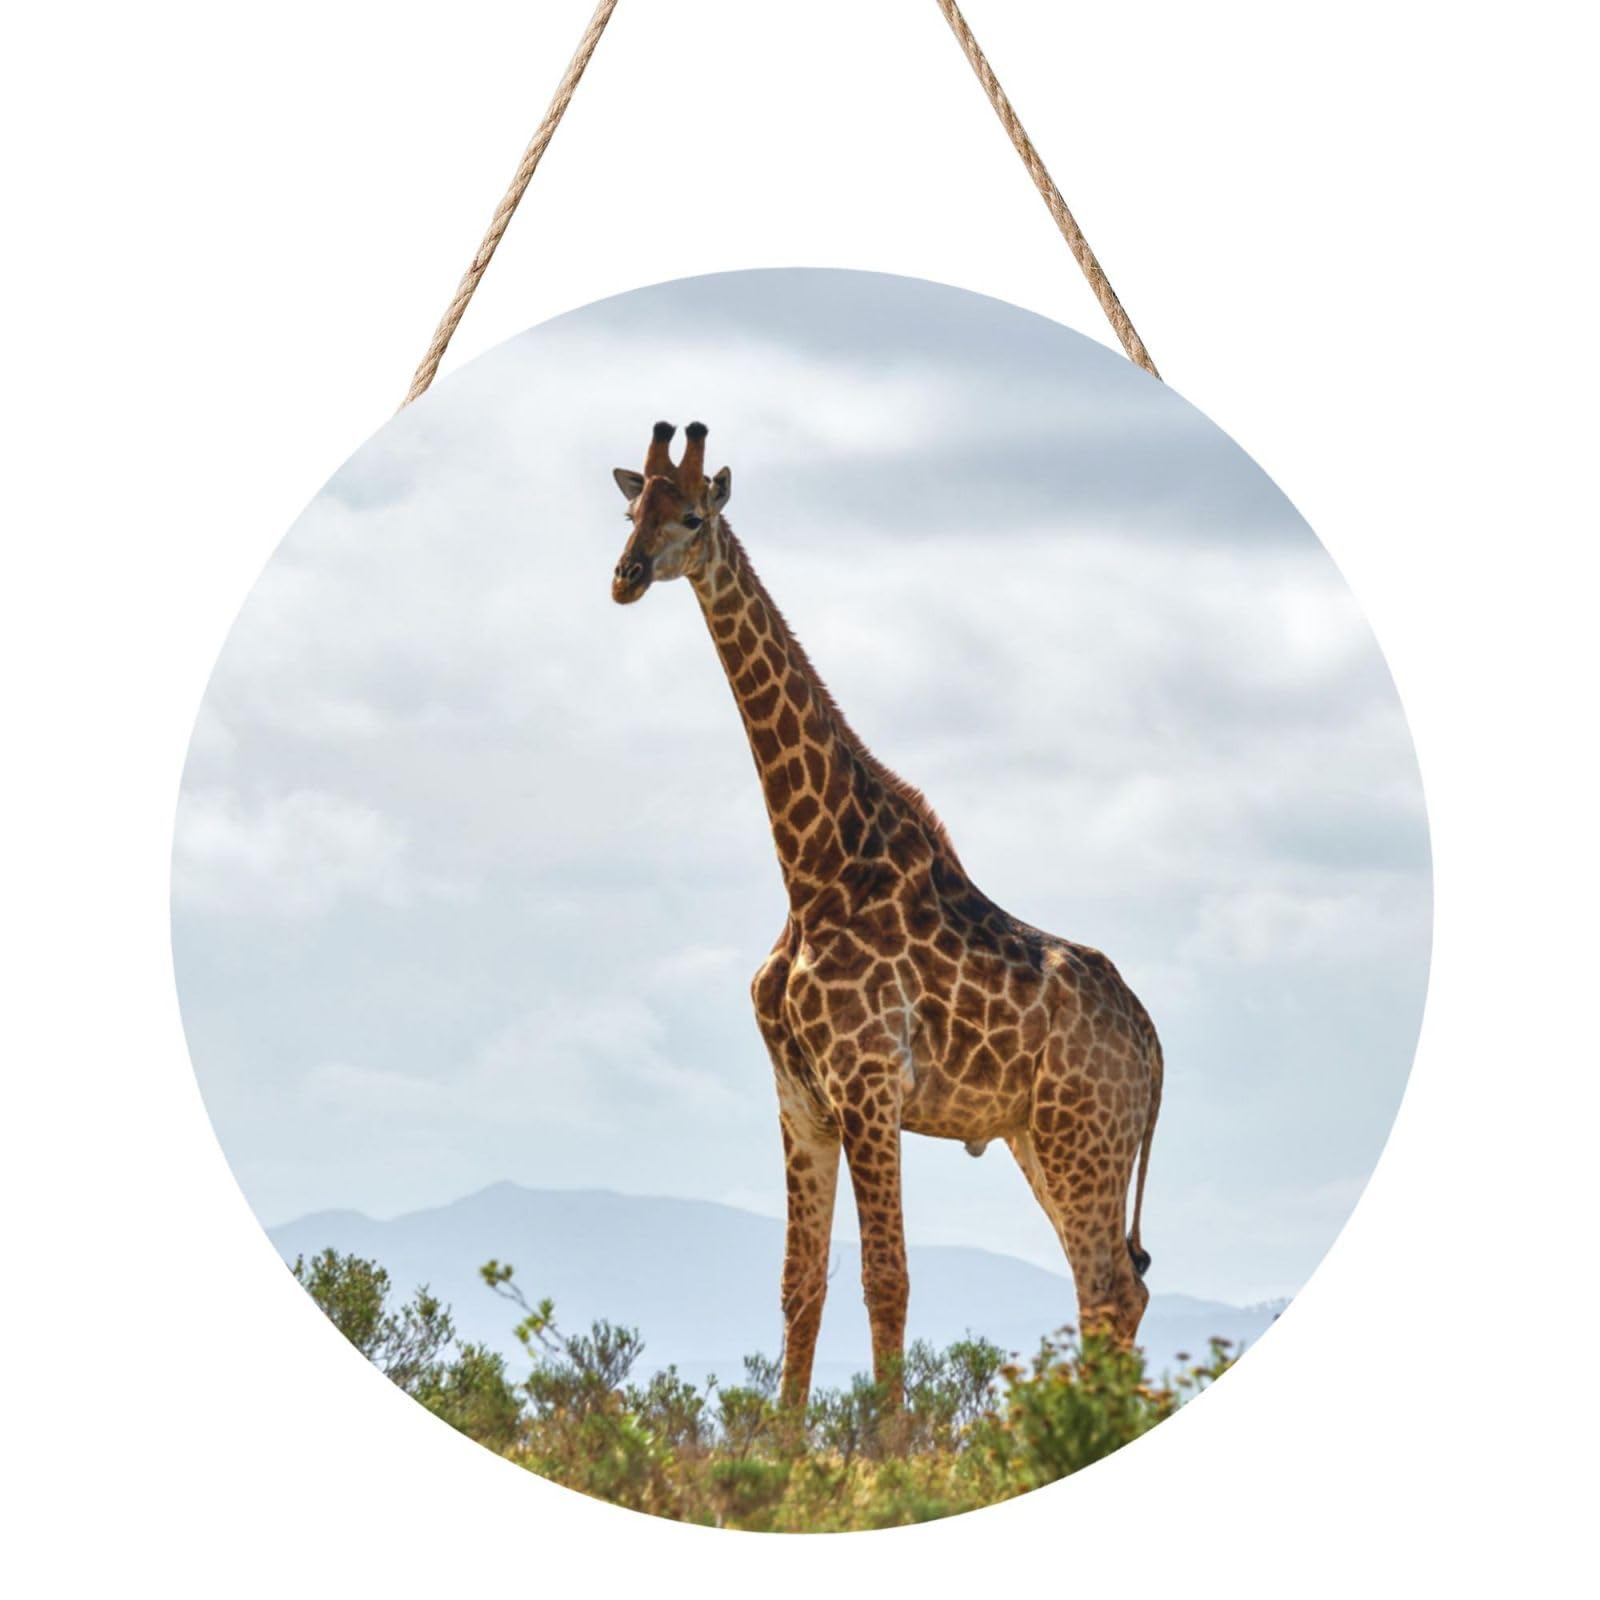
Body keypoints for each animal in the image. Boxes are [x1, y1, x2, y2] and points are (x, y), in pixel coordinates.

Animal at [610, 421, 1163, 1411]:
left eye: (693, 515)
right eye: (631, 510)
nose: (626, 576)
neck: (811, 868)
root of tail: (1152, 1044)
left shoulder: (869, 1086)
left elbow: (887, 1280)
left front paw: (886, 1449)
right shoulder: (801, 1097)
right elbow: (801, 1283)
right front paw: (782, 1452)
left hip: (1083, 1137)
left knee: (1107, 1288)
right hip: (1043, 1138)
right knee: (1116, 1287)